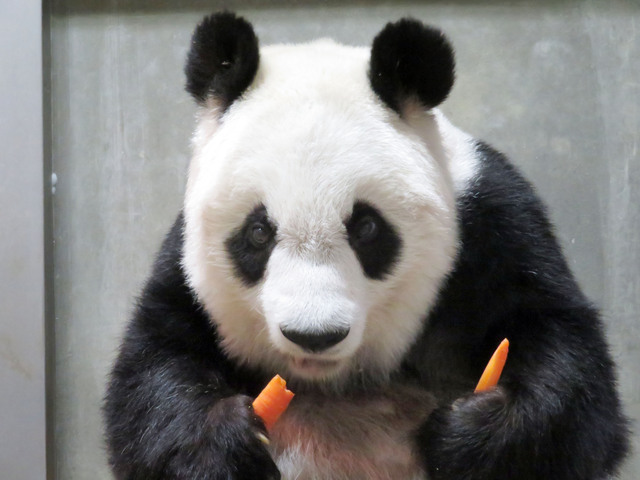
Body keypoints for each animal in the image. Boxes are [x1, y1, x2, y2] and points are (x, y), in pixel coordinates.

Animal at [104, 11, 632, 480]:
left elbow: (569, 363)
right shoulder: (182, 263)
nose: (314, 335)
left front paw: (472, 431)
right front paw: (225, 439)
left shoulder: (494, 223)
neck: (338, 378)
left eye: (366, 228)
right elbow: (150, 372)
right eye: (258, 232)